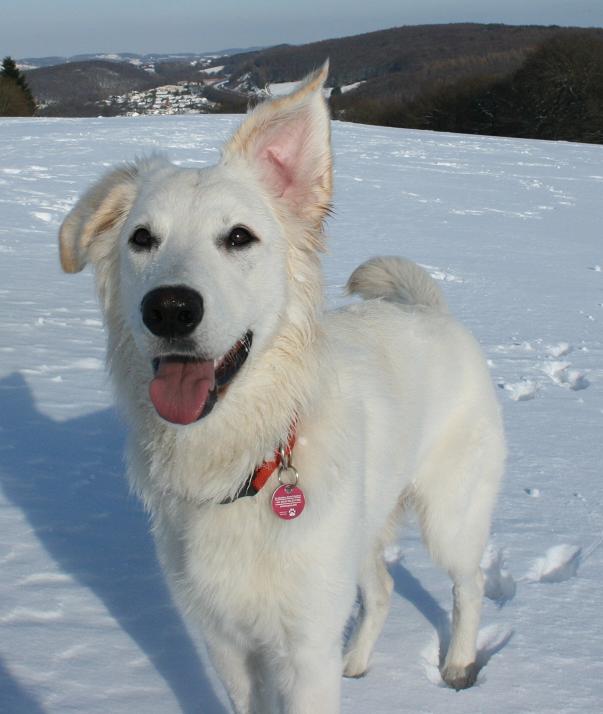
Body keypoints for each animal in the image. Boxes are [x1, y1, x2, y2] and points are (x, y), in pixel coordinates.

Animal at [60, 64, 504, 708]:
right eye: (141, 239)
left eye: (239, 238)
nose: (169, 309)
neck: (245, 461)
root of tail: (428, 309)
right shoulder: (225, 643)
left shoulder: (305, 648)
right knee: (384, 588)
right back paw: (358, 662)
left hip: (450, 516)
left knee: (467, 586)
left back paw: (461, 664)